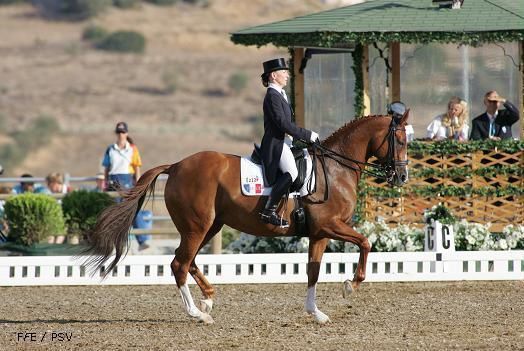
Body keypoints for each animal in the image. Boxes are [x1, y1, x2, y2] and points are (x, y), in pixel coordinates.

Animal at [83, 111, 410, 326]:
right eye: (401, 140)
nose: (402, 177)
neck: (336, 168)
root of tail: (175, 166)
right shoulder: (330, 226)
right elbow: (366, 243)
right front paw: (351, 284)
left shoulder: (319, 233)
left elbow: (313, 271)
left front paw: (315, 313)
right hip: (197, 226)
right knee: (179, 264)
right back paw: (197, 313)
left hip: (209, 226)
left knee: (188, 260)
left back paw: (208, 298)